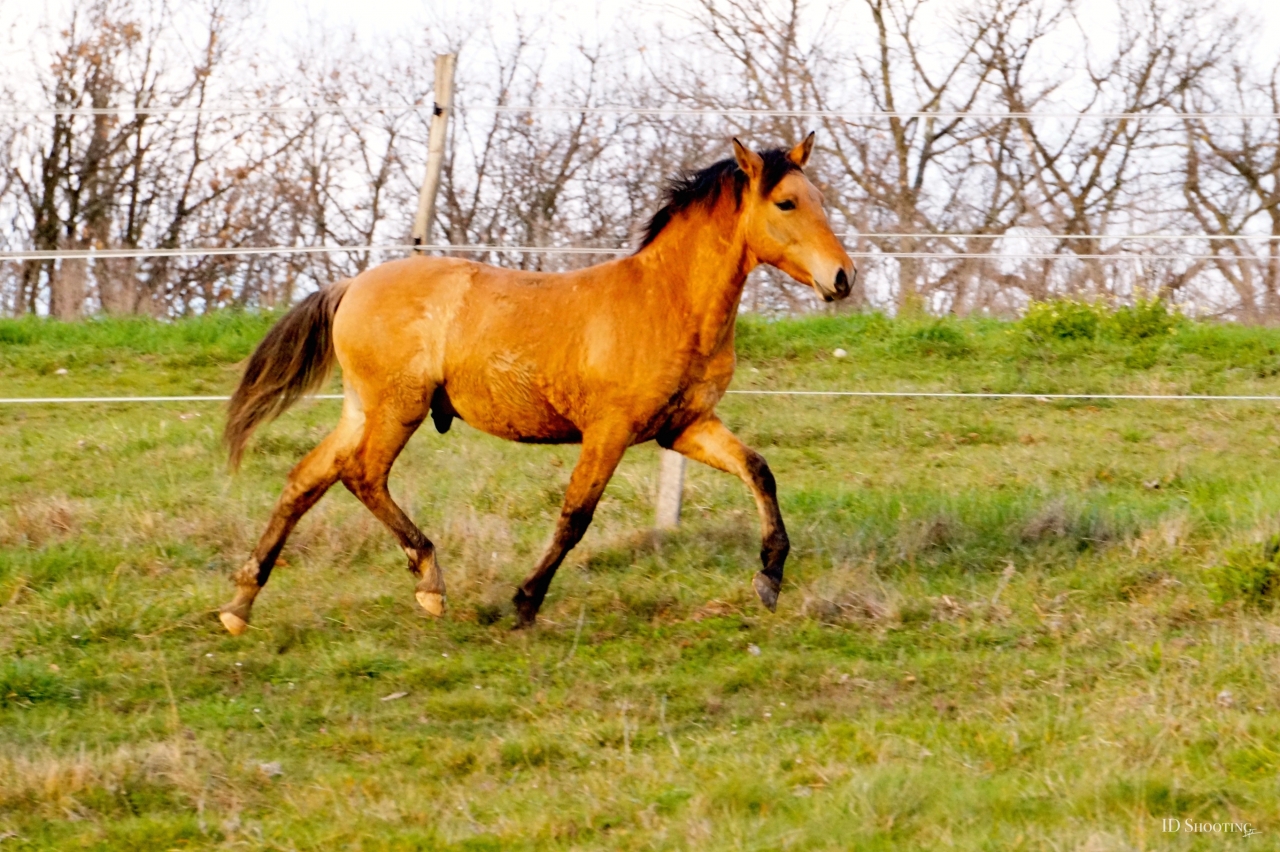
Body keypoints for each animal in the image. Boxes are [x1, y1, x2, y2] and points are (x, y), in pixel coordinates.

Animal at [218, 133, 855, 635]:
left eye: (821, 201)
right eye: (787, 202)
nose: (843, 277)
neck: (667, 303)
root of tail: (351, 285)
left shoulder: (684, 427)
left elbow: (759, 470)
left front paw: (769, 578)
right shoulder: (610, 431)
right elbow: (575, 516)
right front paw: (525, 602)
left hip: (362, 409)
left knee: (307, 478)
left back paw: (240, 603)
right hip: (398, 409)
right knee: (361, 475)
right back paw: (429, 582)